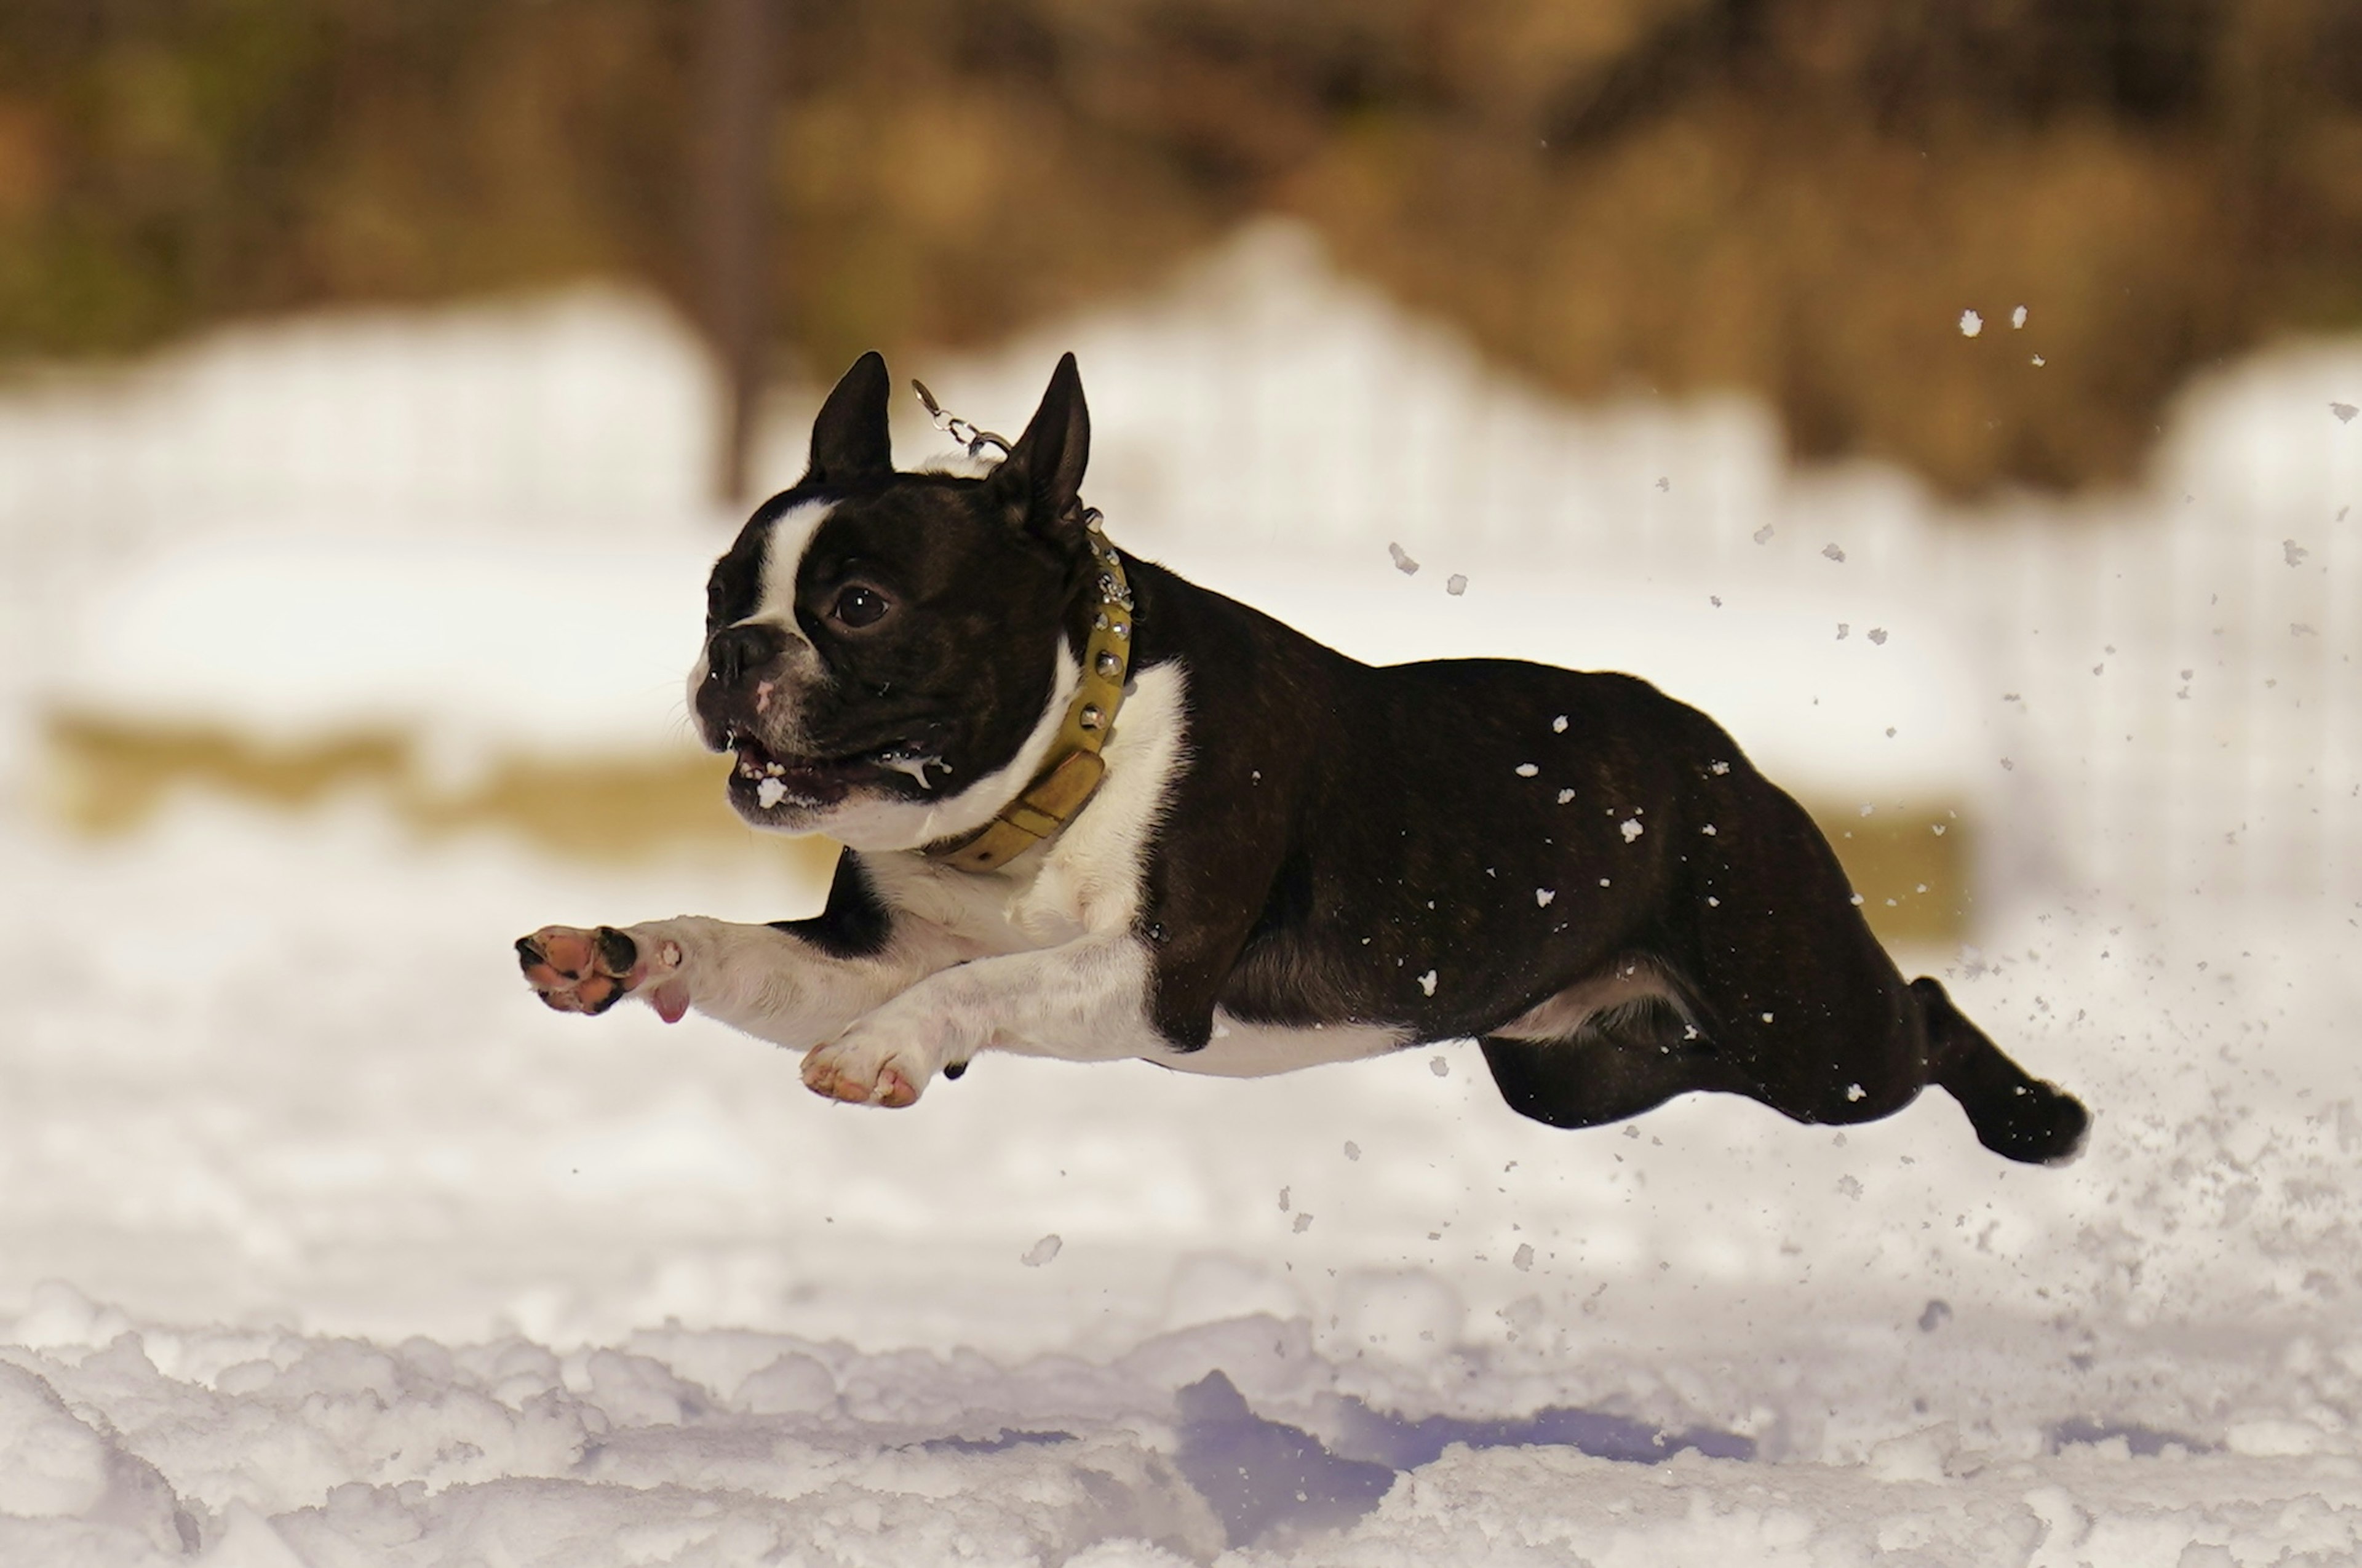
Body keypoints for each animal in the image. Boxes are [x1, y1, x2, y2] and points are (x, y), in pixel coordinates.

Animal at [517, 354, 2088, 1161]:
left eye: (855, 605)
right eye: (719, 591)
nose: (737, 652)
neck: (1046, 785)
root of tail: (1718, 754)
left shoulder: (1154, 976)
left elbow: (984, 983)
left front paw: (891, 1052)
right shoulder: (870, 949)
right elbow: (742, 947)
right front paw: (626, 949)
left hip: (1813, 1032)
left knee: (1922, 1011)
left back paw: (2036, 1114)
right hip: (1575, 1068)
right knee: (1682, 1059)